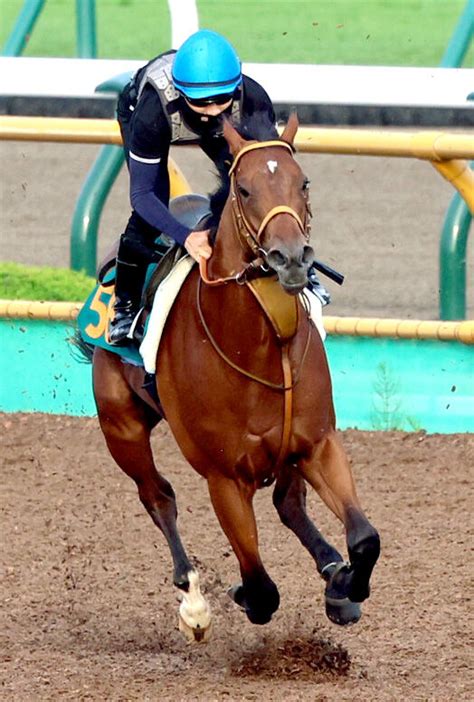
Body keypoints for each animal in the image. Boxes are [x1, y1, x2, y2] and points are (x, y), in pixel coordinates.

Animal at [92, 114, 382, 644]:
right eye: (244, 190)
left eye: (303, 182)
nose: (291, 257)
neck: (260, 345)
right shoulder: (224, 477)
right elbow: (262, 588)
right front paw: (236, 594)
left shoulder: (317, 443)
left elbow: (365, 538)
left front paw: (345, 585)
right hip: (121, 426)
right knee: (157, 496)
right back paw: (193, 601)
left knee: (288, 503)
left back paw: (332, 570)